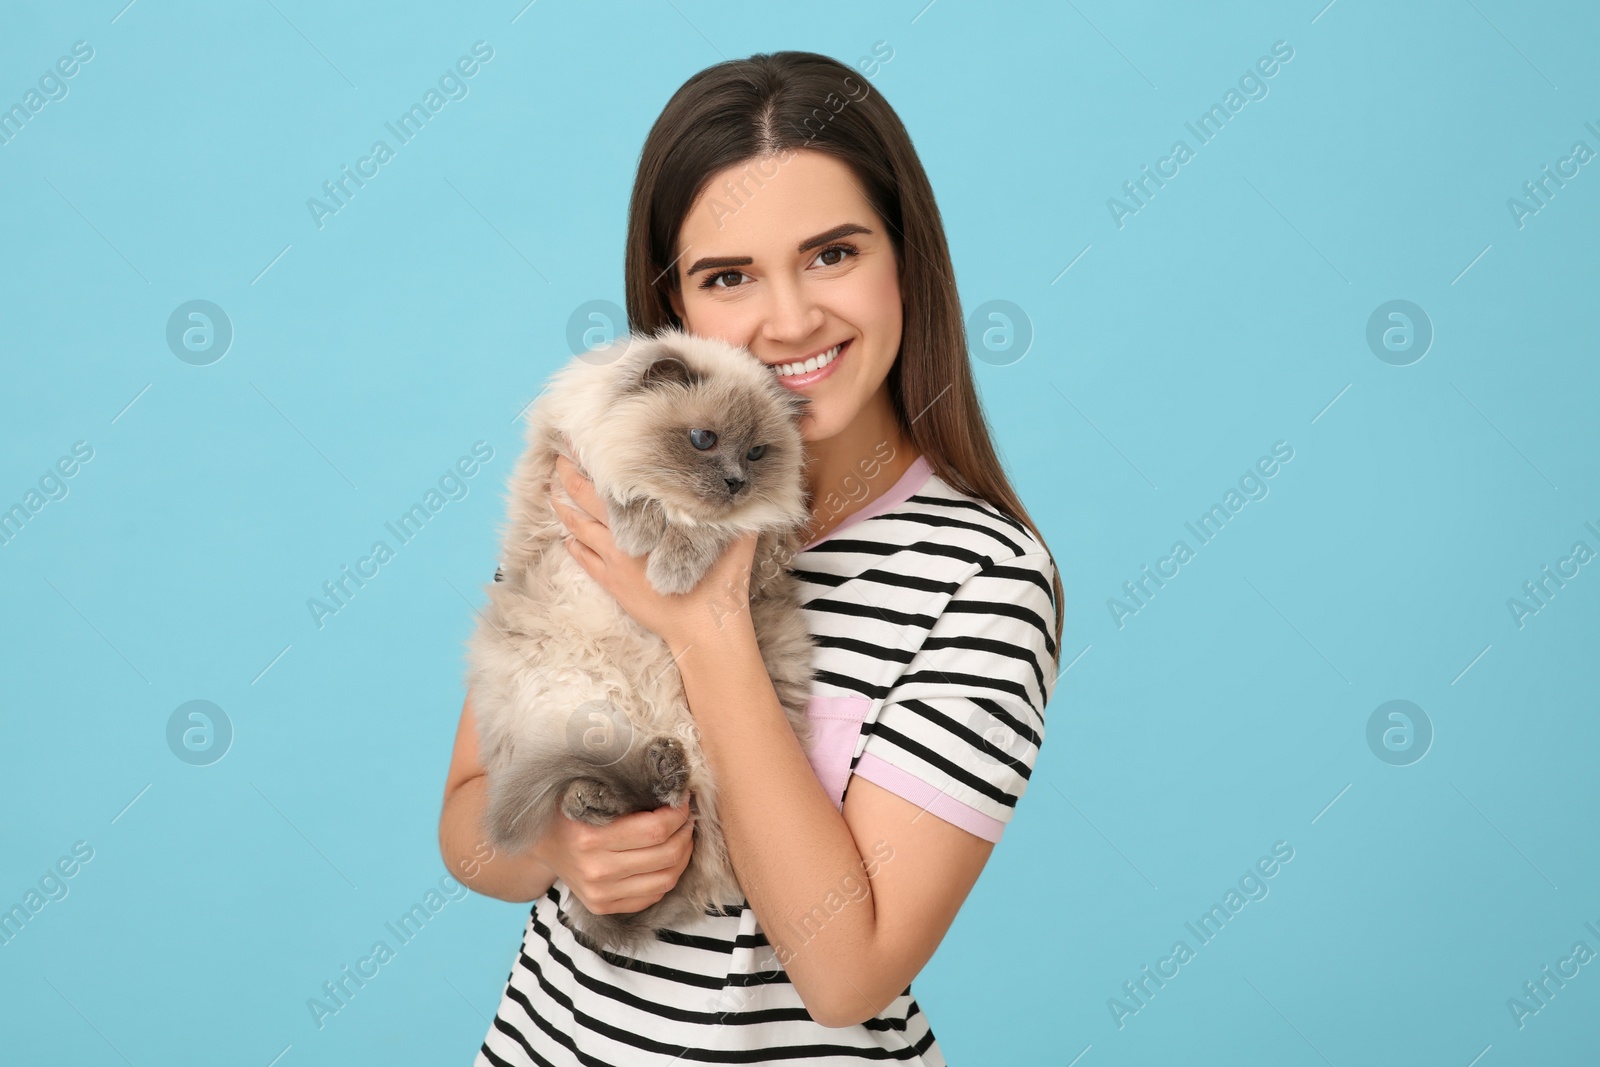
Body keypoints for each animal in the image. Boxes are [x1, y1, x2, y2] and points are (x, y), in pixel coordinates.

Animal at [460, 327, 812, 959]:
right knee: (610, 797)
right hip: (574, 703)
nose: (735, 483)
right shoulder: (566, 461)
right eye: (703, 440)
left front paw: (671, 569)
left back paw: (658, 771)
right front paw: (644, 537)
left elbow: (715, 528)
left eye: (756, 453)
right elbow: (629, 498)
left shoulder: (761, 544)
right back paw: (598, 797)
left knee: (675, 805)